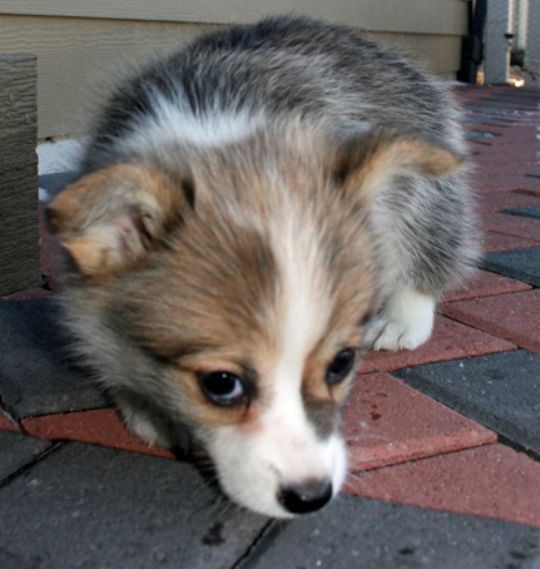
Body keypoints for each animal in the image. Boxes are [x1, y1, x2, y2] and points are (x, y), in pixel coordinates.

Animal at [45, 15, 476, 516]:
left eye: (342, 363)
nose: (311, 496)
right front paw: (148, 409)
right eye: (220, 384)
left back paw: (404, 318)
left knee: (433, 235)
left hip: (421, 185)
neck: (217, 137)